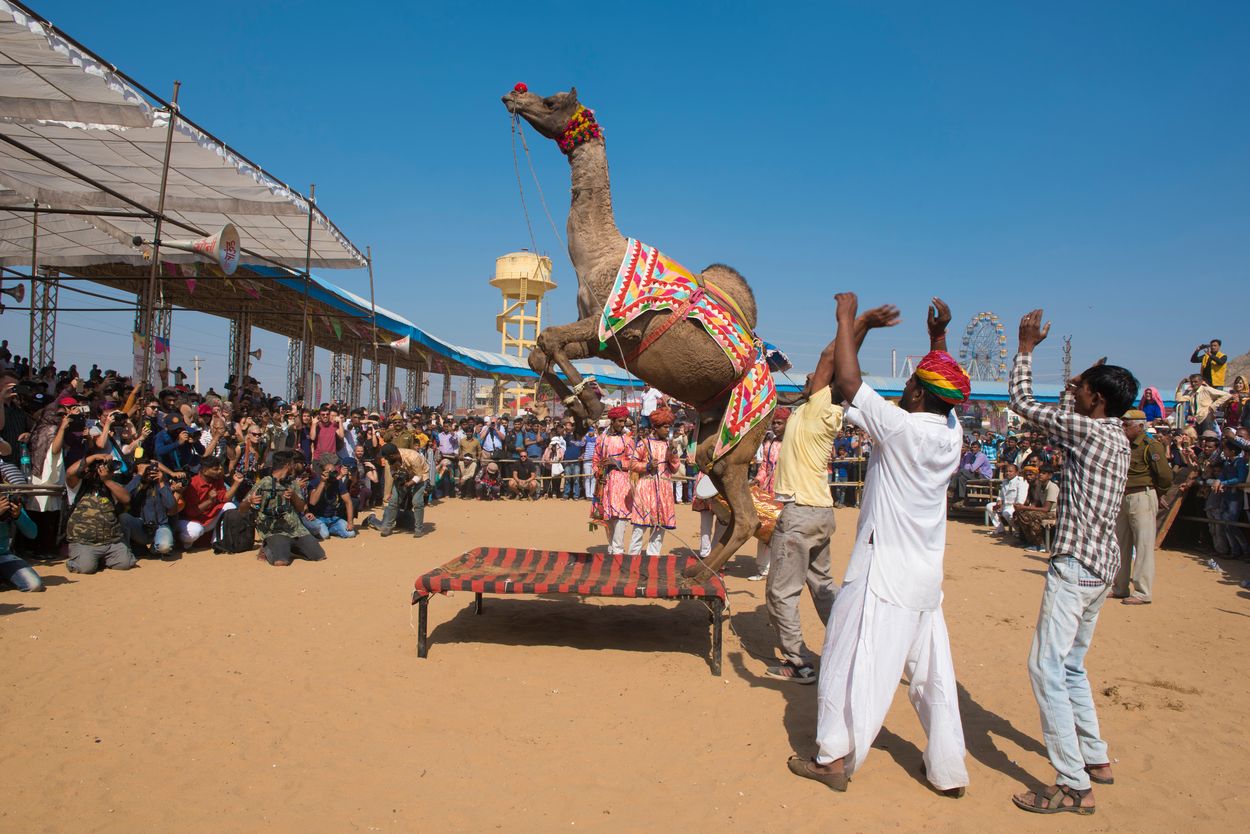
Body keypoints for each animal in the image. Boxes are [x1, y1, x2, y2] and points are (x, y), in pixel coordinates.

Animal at [502, 86, 765, 580]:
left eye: (551, 102)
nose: (513, 96)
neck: (595, 255)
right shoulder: (603, 340)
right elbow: (540, 350)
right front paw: (580, 410)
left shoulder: (616, 326)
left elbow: (547, 339)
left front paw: (591, 405)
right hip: (714, 439)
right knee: (723, 489)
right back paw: (699, 568)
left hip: (744, 441)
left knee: (747, 514)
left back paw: (701, 573)